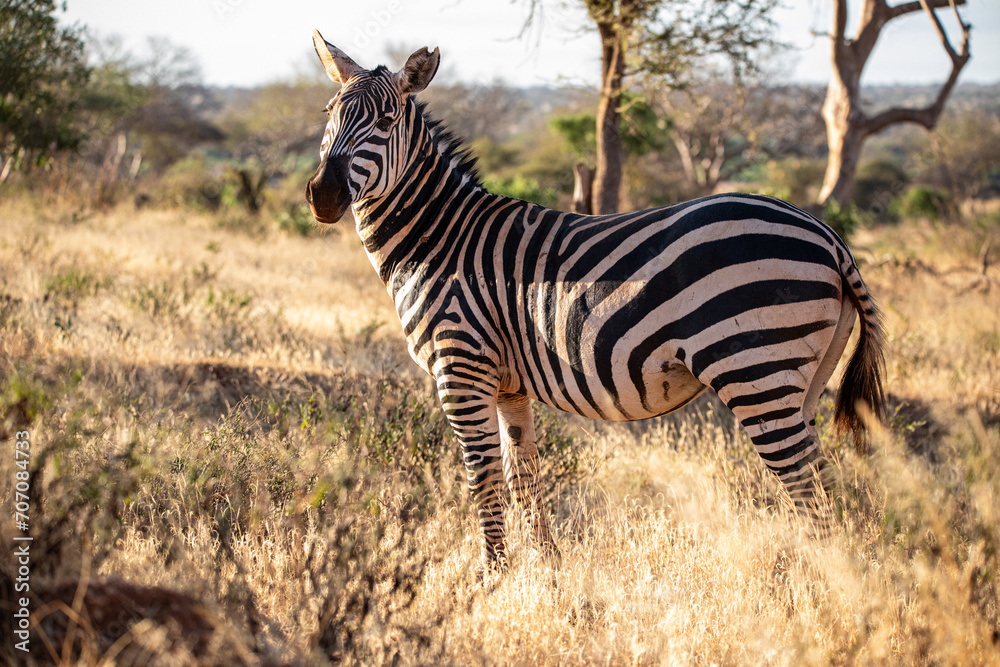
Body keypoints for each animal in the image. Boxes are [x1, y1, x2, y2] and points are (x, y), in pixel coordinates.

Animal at [305, 31, 886, 568]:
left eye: (385, 121)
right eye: (329, 113)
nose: (323, 195)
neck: (438, 237)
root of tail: (827, 235)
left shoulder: (461, 369)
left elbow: (483, 479)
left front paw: (490, 578)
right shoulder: (508, 385)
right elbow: (523, 477)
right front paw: (543, 571)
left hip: (756, 369)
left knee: (808, 490)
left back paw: (813, 586)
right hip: (802, 379)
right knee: (822, 482)